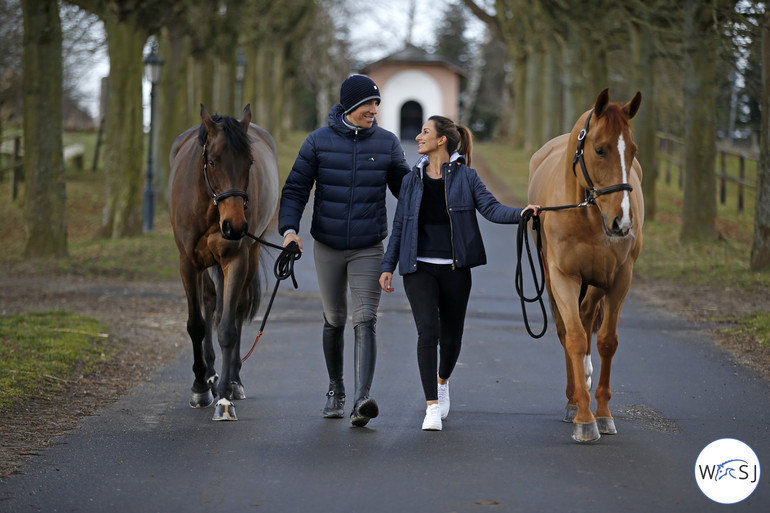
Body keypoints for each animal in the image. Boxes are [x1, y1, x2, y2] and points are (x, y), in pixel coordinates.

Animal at [168, 104, 280, 420]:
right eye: (213, 161)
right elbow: (196, 324)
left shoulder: (236, 259)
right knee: (208, 302)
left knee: (239, 307)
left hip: (251, 253)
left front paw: (225, 398)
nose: (235, 226)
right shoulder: (187, 263)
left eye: (249, 162)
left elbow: (228, 327)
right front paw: (199, 388)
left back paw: (233, 380)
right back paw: (209, 374)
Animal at [528, 88, 640, 440]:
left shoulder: (619, 279)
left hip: (597, 282)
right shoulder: (563, 276)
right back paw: (572, 399)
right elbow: (575, 337)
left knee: (589, 316)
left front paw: (602, 413)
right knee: (569, 329)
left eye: (633, 150)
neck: (588, 214)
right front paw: (583, 416)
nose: (622, 222)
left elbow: (606, 341)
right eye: (600, 149)